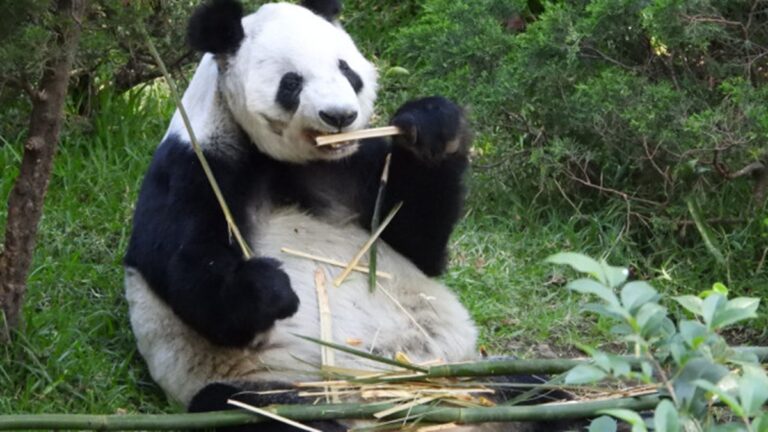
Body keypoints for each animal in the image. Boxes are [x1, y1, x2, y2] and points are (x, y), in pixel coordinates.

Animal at [124, 1, 562, 431]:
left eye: (346, 70)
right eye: (291, 83)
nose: (339, 116)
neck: (283, 162)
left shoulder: (355, 168)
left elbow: (420, 246)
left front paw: (432, 126)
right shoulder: (195, 167)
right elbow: (190, 275)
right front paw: (271, 287)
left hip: (468, 376)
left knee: (537, 388)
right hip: (276, 385)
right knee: (251, 407)